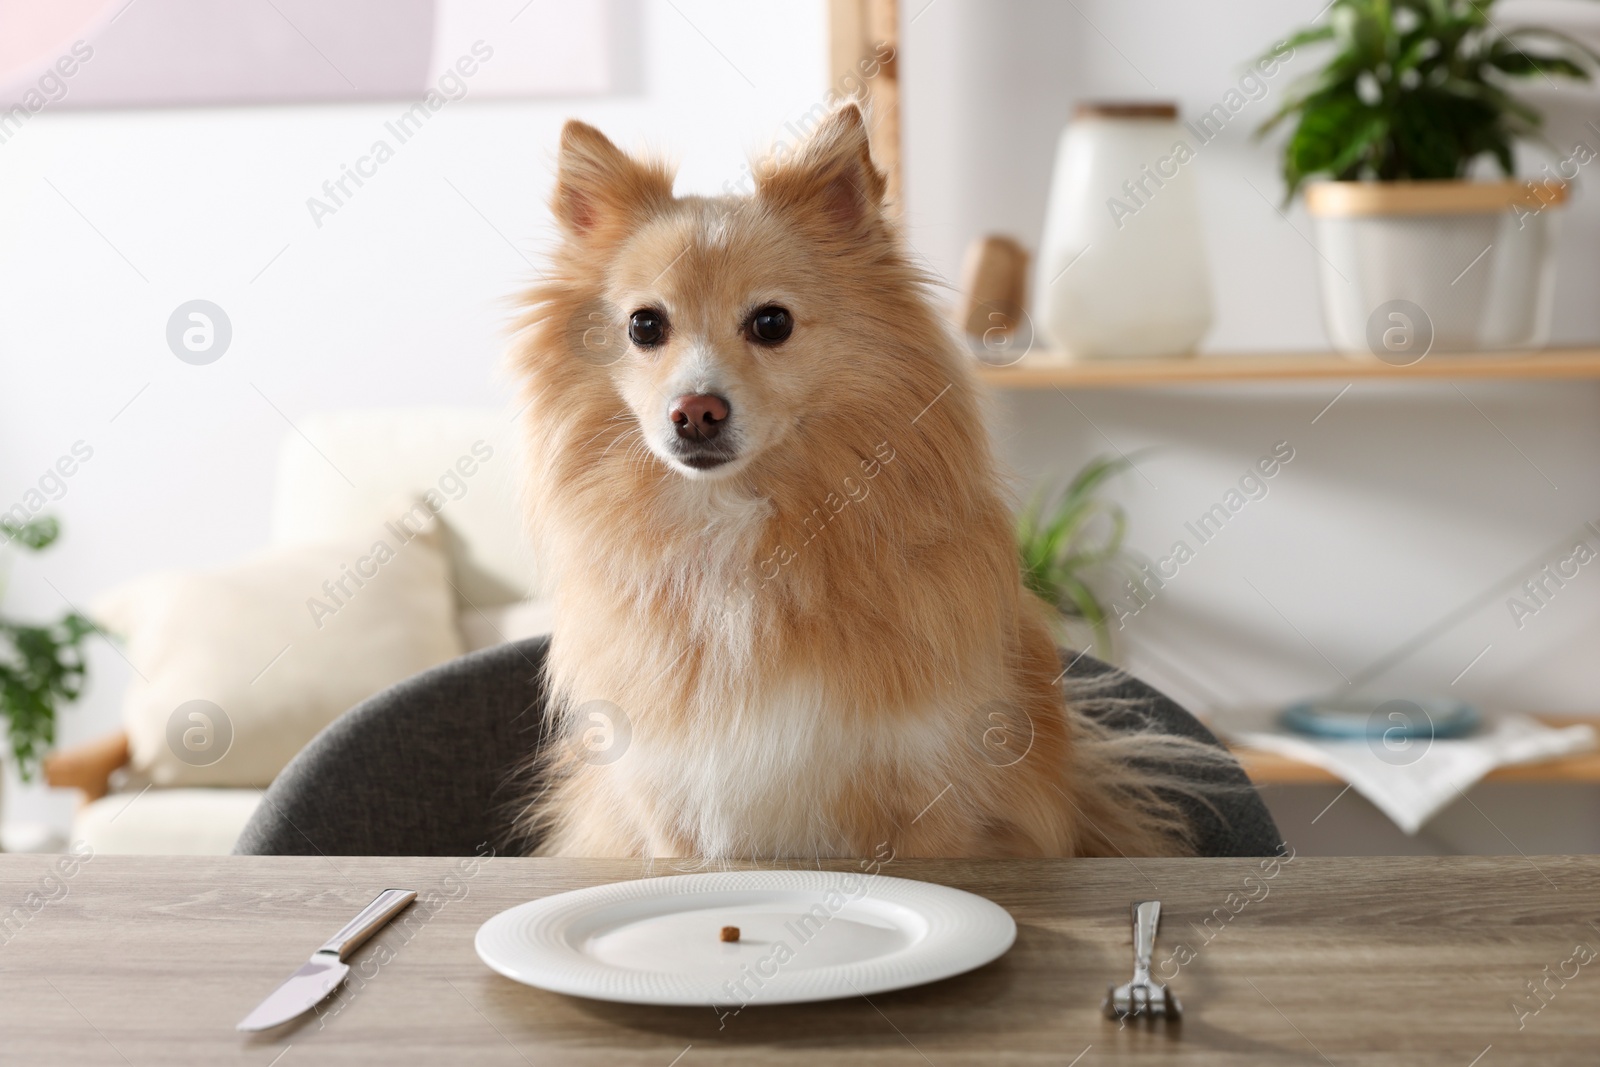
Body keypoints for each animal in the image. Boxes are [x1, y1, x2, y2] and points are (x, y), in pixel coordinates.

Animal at [512, 103, 1209, 863]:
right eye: (645, 325)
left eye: (771, 322)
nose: (696, 411)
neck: (740, 534)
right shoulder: (668, 809)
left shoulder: (927, 797)